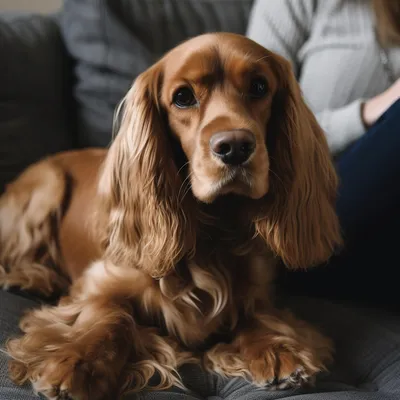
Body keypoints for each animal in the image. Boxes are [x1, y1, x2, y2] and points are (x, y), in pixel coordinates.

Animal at [0, 33, 340, 400]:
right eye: (183, 97)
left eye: (259, 87)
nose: (235, 146)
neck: (213, 233)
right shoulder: (99, 281)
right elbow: (108, 316)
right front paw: (77, 362)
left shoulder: (258, 291)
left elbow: (258, 315)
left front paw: (277, 349)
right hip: (48, 184)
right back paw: (33, 278)